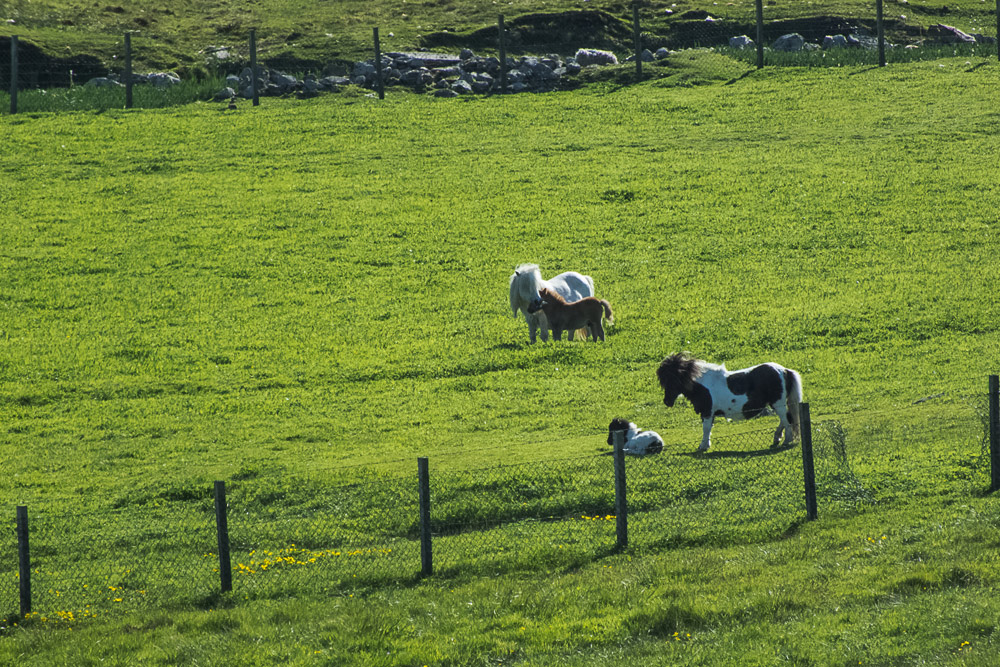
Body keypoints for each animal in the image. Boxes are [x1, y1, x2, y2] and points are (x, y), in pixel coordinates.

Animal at [656, 350, 804, 454]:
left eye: (670, 379)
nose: (667, 401)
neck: (703, 385)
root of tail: (784, 370)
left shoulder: (707, 412)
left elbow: (706, 429)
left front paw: (703, 447)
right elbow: (708, 429)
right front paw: (705, 445)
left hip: (778, 403)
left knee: (786, 420)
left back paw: (786, 440)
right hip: (777, 404)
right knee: (786, 419)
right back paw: (776, 438)